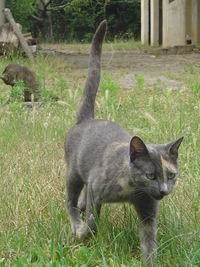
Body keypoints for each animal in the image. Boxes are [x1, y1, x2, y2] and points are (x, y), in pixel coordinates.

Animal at [65, 19, 184, 266]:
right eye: (151, 175)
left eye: (171, 175)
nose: (164, 190)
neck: (132, 190)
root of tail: (86, 119)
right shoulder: (95, 187)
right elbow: (92, 223)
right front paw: (83, 232)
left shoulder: (148, 209)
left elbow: (149, 242)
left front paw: (150, 261)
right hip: (73, 174)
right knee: (69, 201)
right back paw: (76, 222)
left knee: (78, 202)